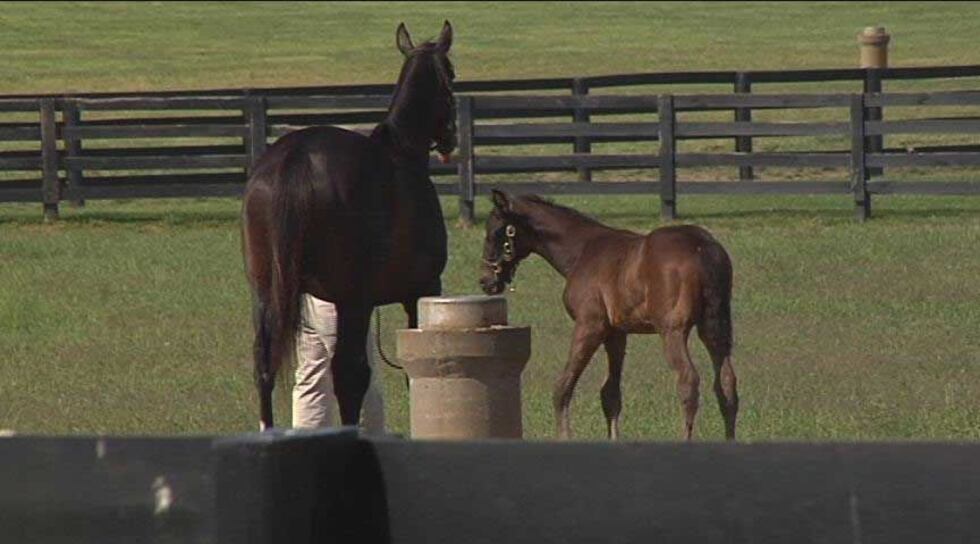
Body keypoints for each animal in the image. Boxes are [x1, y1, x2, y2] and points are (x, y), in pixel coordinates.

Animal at [478, 189, 740, 440]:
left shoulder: (590, 325)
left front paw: (564, 436)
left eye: (495, 231)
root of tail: (703, 247)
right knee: (727, 383)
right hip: (714, 328)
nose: (485, 281)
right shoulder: (616, 332)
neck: (582, 250)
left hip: (672, 331)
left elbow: (563, 386)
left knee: (688, 381)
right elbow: (610, 394)